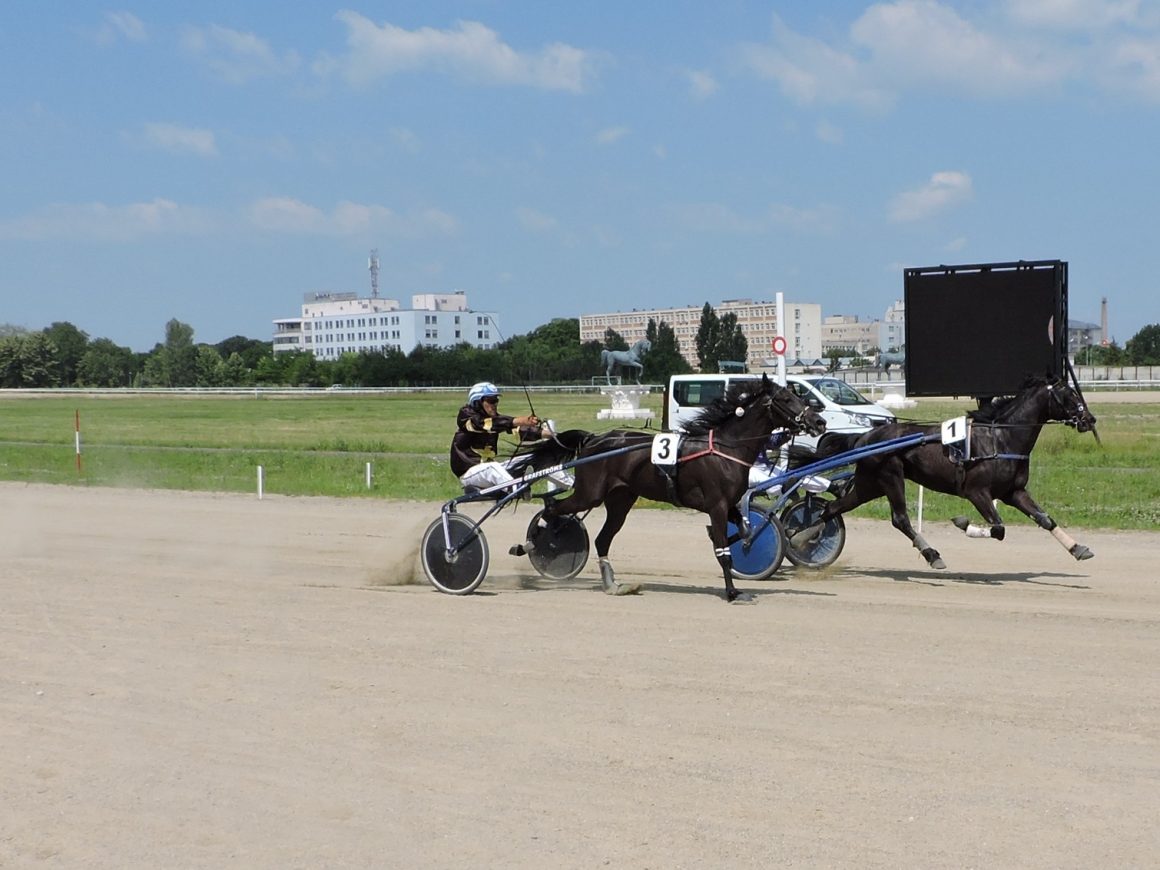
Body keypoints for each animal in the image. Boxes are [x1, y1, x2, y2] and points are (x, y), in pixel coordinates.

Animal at [533, 375, 825, 607]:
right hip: (590, 493)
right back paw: (538, 541)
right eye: (786, 399)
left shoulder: (729, 504)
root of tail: (594, 439)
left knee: (602, 539)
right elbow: (723, 551)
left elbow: (744, 530)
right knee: (551, 507)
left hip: (621, 500)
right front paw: (732, 592)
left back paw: (613, 585)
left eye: (798, 395)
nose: (819, 421)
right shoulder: (717, 506)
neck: (726, 449)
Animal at [788, 375, 1095, 573]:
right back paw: (932, 554)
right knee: (900, 519)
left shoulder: (1014, 492)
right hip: (890, 476)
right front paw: (962, 523)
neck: (1000, 439)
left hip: (869, 484)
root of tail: (866, 436)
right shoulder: (976, 492)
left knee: (833, 508)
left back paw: (803, 538)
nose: (1089, 420)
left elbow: (1045, 519)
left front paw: (1079, 548)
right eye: (1070, 395)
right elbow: (998, 529)